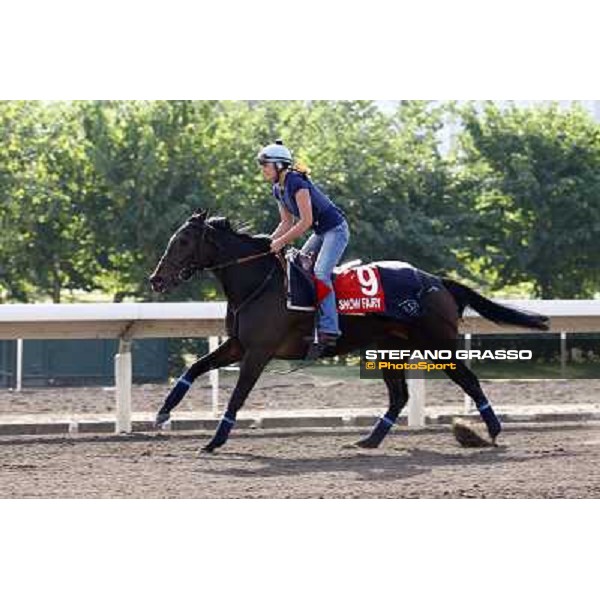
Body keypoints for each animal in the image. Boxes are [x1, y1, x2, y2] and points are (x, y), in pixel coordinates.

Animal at [149, 211, 548, 450]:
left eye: (183, 241)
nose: (156, 280)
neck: (258, 282)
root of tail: (437, 282)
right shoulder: (237, 345)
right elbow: (193, 369)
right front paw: (163, 413)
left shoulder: (259, 352)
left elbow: (237, 396)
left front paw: (215, 440)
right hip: (389, 350)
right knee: (399, 396)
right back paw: (369, 441)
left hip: (438, 345)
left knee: (470, 380)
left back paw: (491, 431)